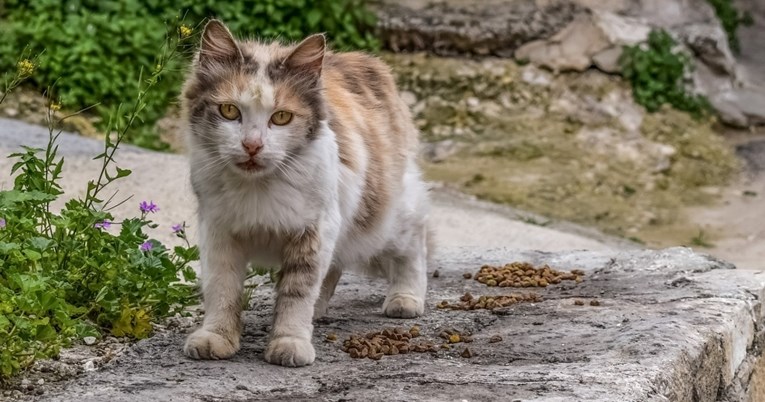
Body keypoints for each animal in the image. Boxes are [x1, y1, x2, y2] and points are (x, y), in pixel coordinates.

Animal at [179, 21, 430, 368]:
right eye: (229, 111)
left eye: (281, 117)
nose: (252, 146)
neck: (257, 187)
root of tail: (368, 62)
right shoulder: (219, 232)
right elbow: (222, 289)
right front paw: (217, 337)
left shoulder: (314, 232)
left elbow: (296, 294)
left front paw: (290, 342)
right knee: (334, 268)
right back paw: (320, 312)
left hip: (388, 217)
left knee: (413, 248)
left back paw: (406, 298)